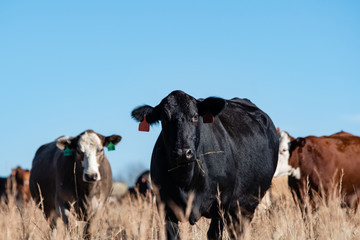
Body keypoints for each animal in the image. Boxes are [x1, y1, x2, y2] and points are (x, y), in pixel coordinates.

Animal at [131, 90, 278, 240]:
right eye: (164, 118)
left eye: (195, 116)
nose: (183, 153)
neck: (186, 182)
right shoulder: (164, 206)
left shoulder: (221, 204)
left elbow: (213, 234)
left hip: (246, 207)